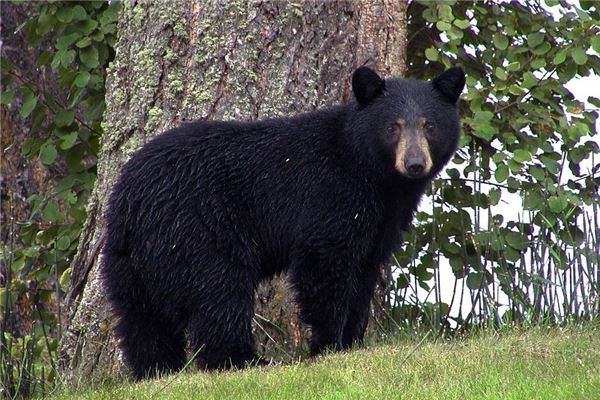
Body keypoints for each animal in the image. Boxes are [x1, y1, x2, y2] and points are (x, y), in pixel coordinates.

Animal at [102, 65, 464, 378]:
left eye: (429, 125)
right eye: (393, 126)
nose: (414, 163)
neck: (374, 174)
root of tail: (130, 200)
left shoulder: (381, 221)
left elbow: (364, 272)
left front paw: (352, 342)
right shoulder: (330, 196)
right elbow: (325, 264)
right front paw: (328, 346)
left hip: (128, 259)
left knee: (141, 318)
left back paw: (157, 369)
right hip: (197, 230)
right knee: (219, 293)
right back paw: (244, 360)